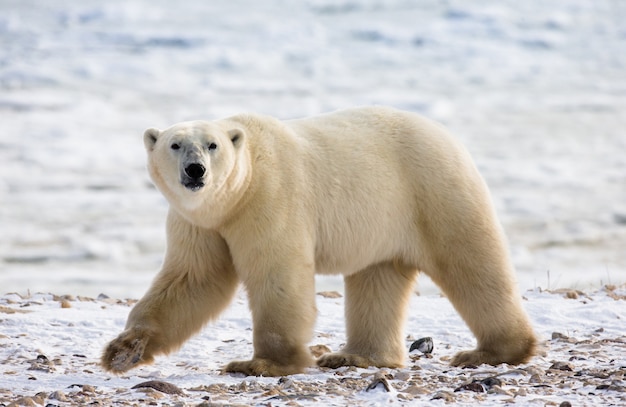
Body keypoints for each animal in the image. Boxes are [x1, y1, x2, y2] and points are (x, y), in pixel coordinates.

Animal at [100, 107, 532, 378]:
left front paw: (262, 364)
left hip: (433, 190)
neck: (238, 192)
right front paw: (123, 350)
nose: (195, 170)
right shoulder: (200, 223)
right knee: (377, 279)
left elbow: (278, 275)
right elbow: (193, 279)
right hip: (383, 220)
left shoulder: (270, 198)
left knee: (471, 263)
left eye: (212, 145)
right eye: (174, 144)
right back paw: (356, 356)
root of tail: (447, 135)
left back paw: (495, 351)